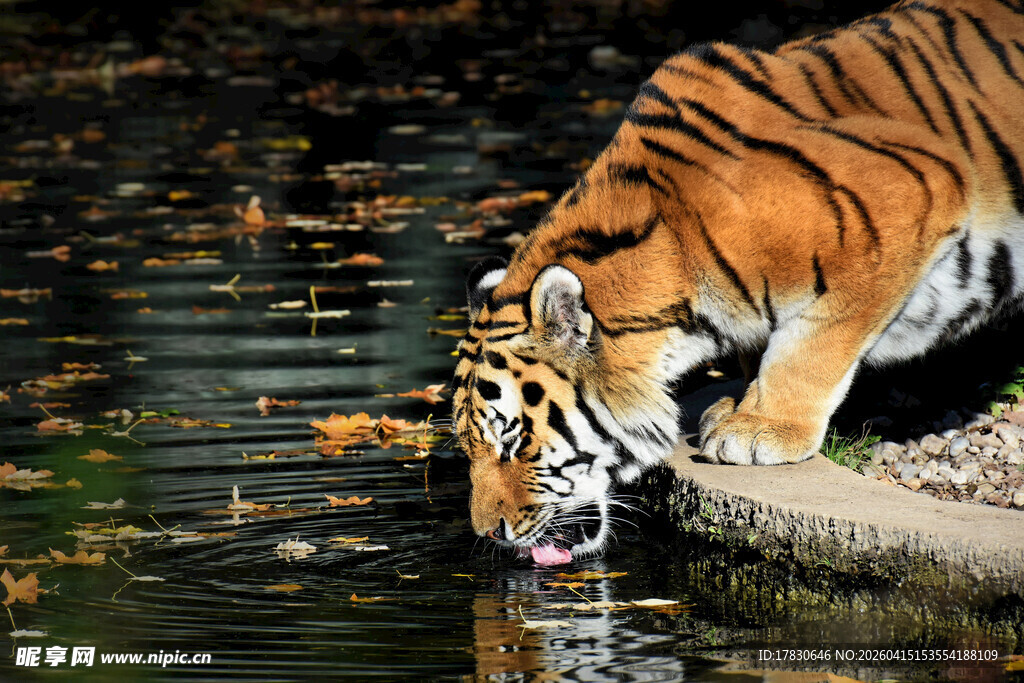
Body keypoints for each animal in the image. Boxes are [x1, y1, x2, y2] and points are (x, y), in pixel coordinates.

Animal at [452, 0, 1024, 564]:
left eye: (512, 441)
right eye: (467, 444)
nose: (488, 533)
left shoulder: (909, 193)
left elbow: (814, 343)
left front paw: (764, 427)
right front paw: (739, 405)